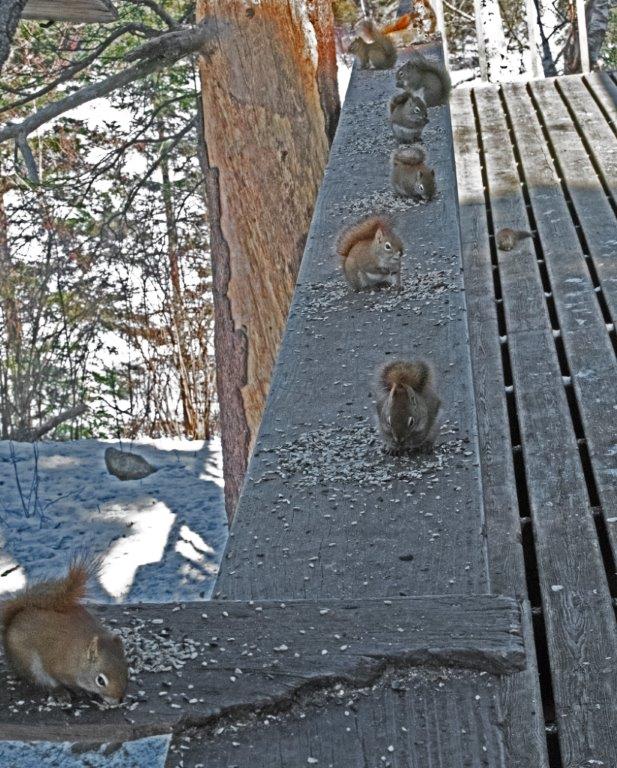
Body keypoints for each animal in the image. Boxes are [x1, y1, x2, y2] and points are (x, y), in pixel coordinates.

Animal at [1, 559, 128, 704]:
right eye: (100, 681)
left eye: (126, 671)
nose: (118, 700)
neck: (77, 656)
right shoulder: (57, 668)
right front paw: (79, 690)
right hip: (28, 663)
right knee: (41, 680)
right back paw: (59, 692)